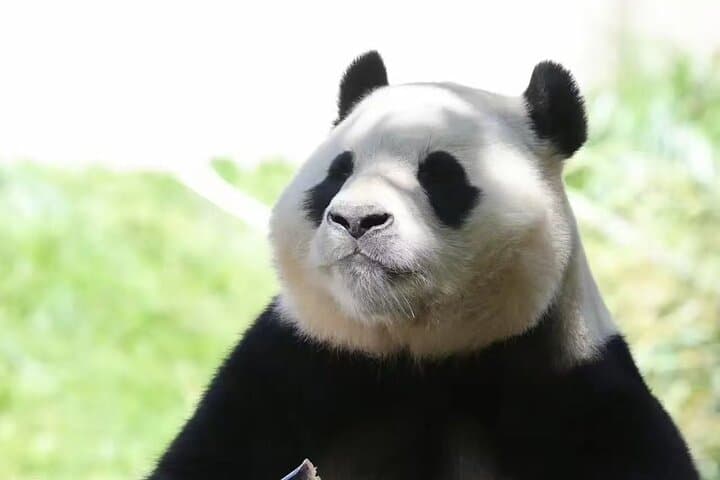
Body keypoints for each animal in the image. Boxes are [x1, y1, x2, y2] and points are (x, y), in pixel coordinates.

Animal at [149, 51, 698, 480]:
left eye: (439, 176)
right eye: (338, 173)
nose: (356, 219)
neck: (417, 355)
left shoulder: (577, 391)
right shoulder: (286, 371)